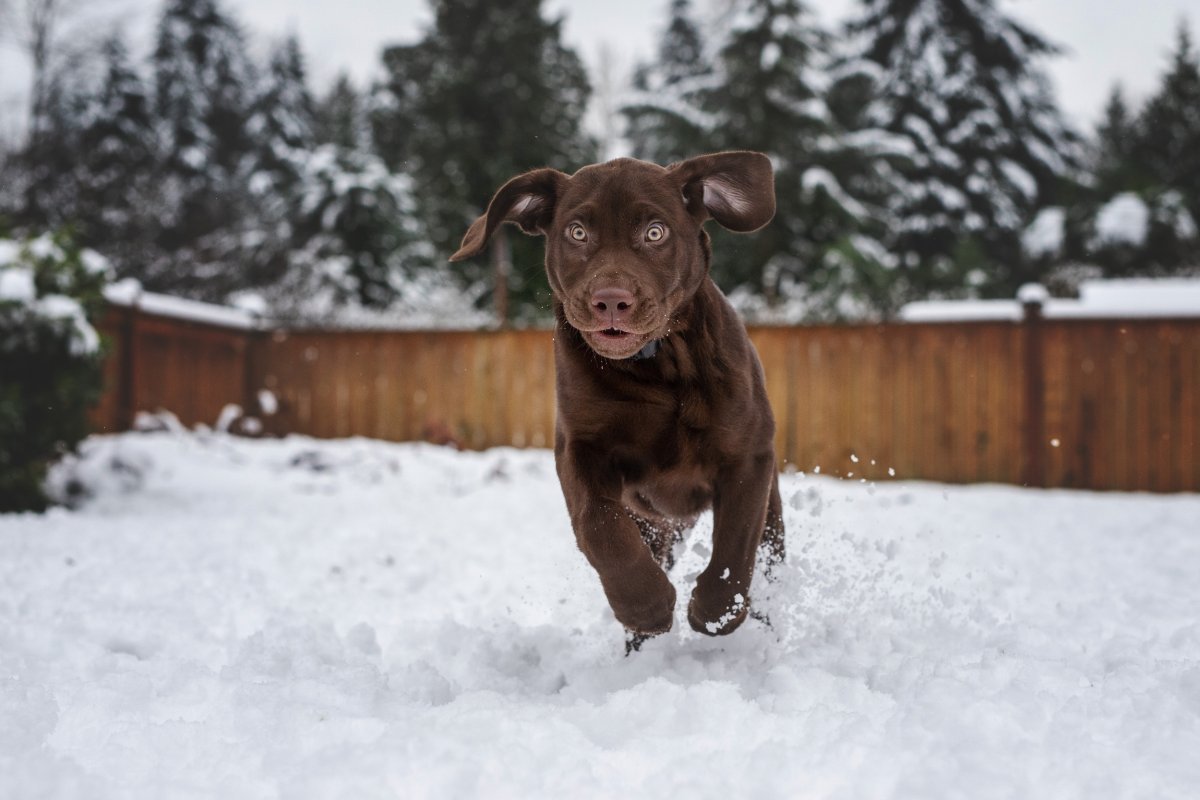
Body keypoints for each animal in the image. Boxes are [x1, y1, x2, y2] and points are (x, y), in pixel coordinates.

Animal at [451, 151, 787, 652]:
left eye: (655, 232)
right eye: (577, 233)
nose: (611, 301)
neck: (660, 365)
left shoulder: (747, 456)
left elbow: (735, 543)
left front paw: (714, 614)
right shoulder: (580, 449)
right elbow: (600, 526)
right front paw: (645, 606)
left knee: (766, 559)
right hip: (653, 523)